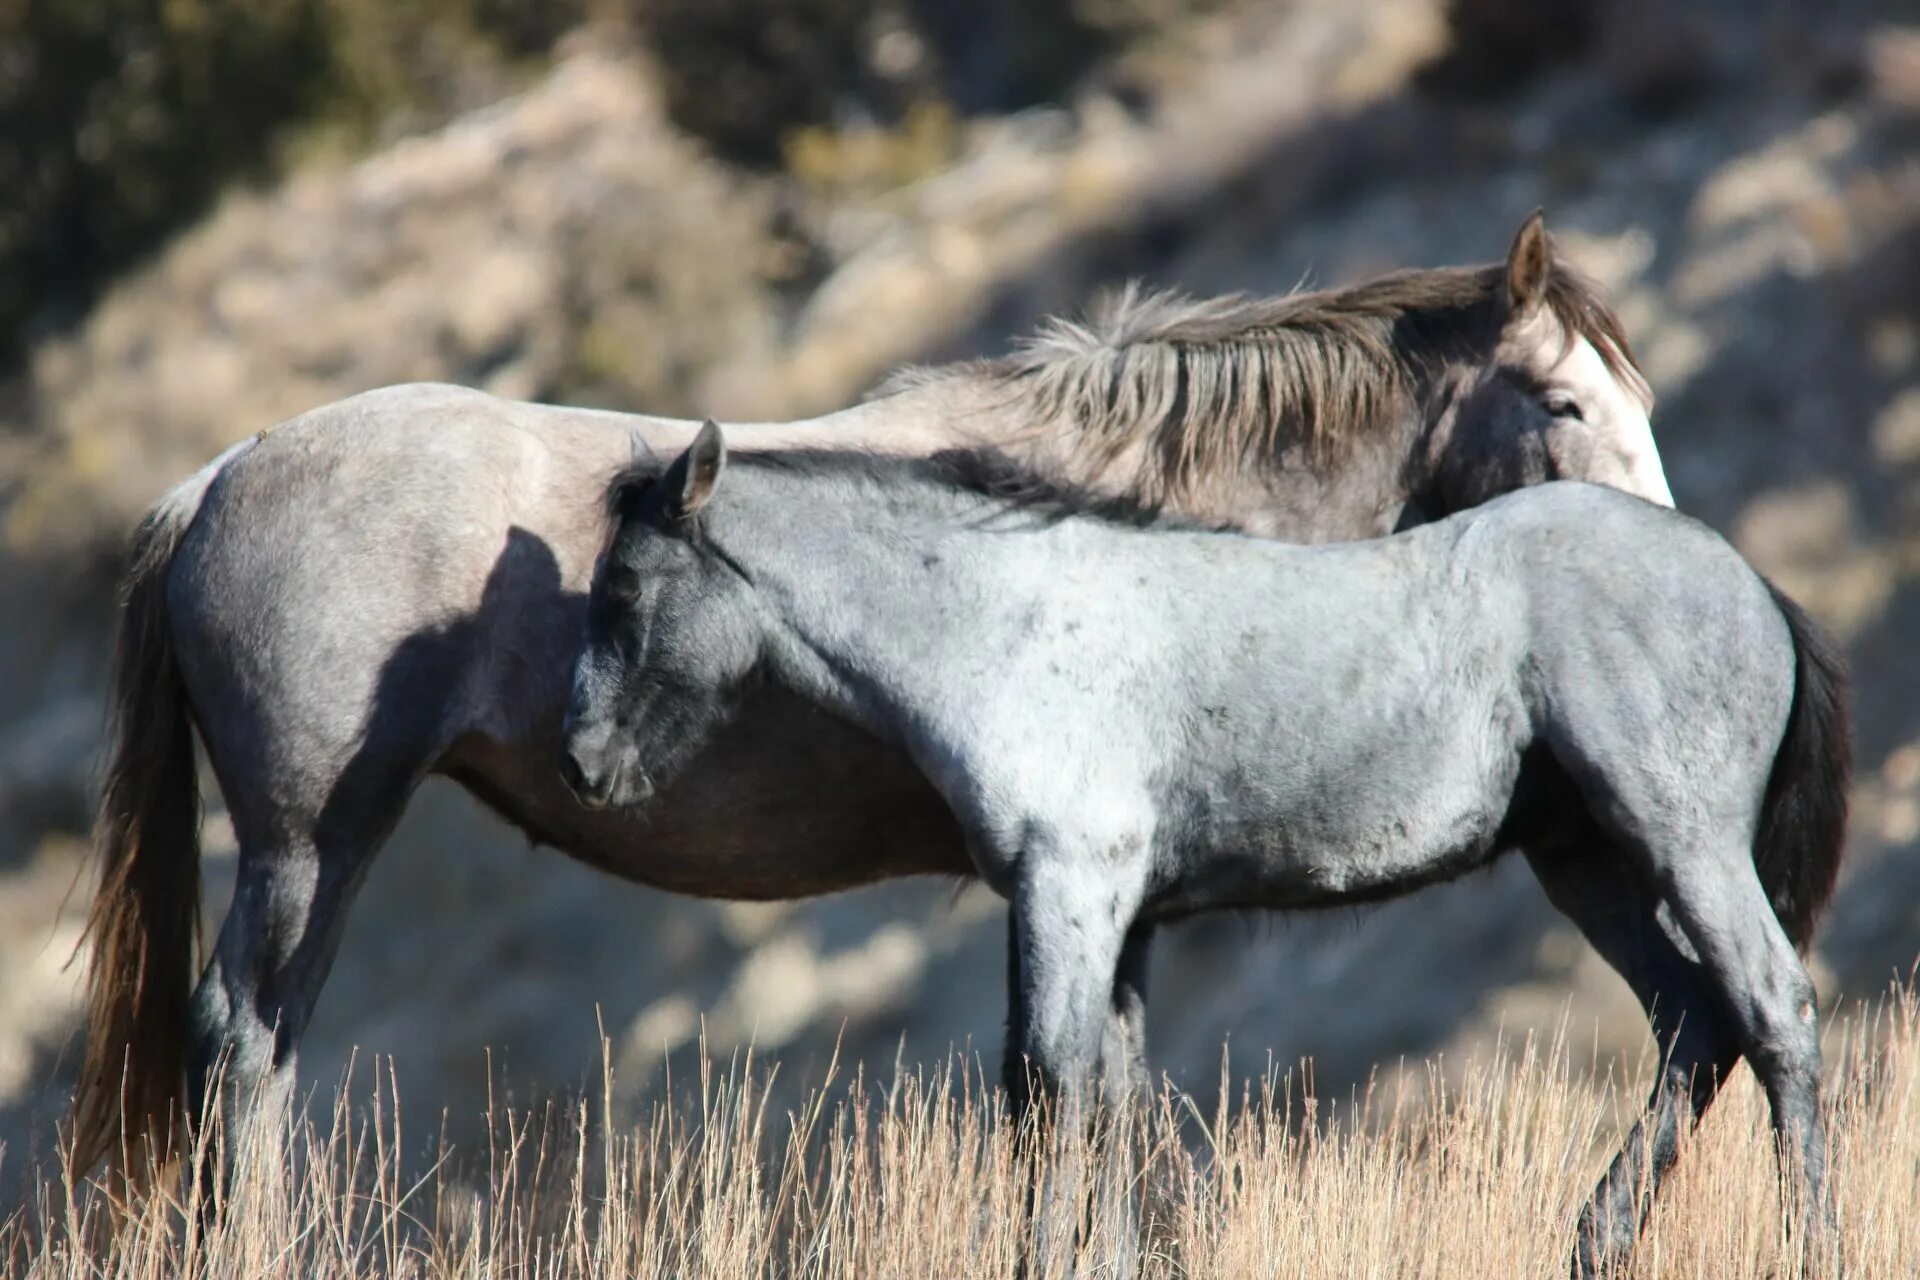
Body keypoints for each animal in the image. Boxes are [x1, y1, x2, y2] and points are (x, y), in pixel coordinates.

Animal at [74, 217, 1666, 1189]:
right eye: (1568, 404)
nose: (1667, 566)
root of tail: (222, 474)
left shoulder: (1118, 904)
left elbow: (1108, 1103)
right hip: (307, 846)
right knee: (244, 1053)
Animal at [564, 420, 1843, 1274]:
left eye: (626, 585)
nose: (582, 761)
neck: (1008, 621)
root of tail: (1752, 582)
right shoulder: (1120, 915)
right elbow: (1111, 1092)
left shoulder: (1069, 887)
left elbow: (1049, 1084)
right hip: (1588, 862)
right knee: (1694, 1023)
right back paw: (1593, 1238)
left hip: (1679, 838)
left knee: (1769, 1005)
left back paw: (1807, 1243)